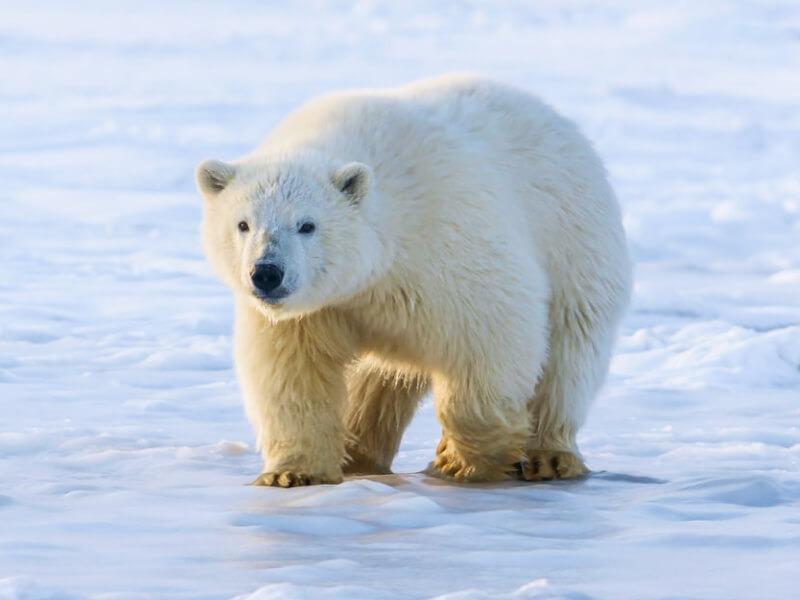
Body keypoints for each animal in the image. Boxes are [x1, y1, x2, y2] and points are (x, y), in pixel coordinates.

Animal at [195, 74, 631, 487]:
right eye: (243, 224)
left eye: (307, 225)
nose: (267, 273)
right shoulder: (315, 311)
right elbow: (293, 374)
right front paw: (291, 473)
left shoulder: (448, 241)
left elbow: (494, 330)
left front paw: (460, 459)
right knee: (378, 380)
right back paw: (359, 452)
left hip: (574, 244)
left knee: (567, 355)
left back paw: (549, 456)